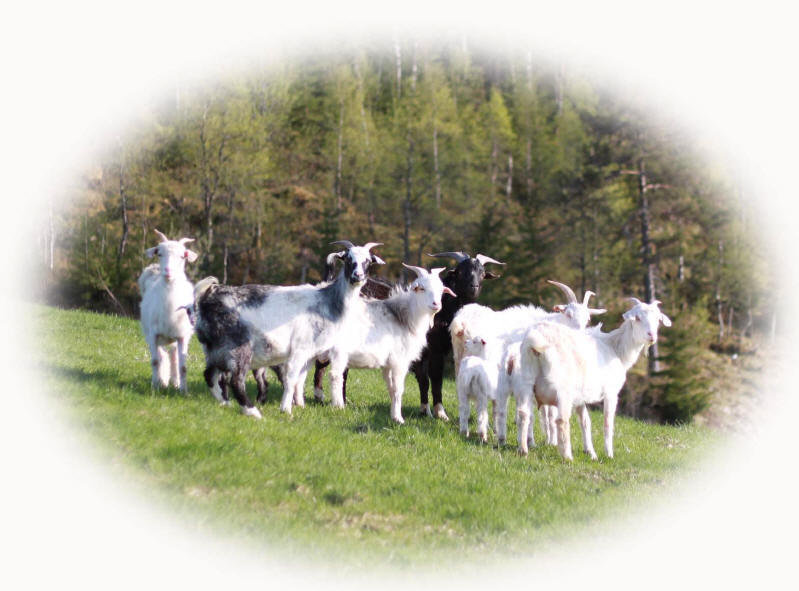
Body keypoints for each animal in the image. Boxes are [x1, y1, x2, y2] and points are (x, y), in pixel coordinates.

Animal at [137, 229, 198, 393]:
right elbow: (155, 361)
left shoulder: (183, 336)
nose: (168, 271)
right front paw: (155, 386)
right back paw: (163, 381)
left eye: (182, 256)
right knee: (163, 356)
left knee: (173, 356)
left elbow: (183, 366)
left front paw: (184, 391)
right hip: (152, 335)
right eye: (159, 254)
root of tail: (154, 270)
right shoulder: (153, 334)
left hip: (174, 338)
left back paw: (174, 382)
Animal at [193, 241, 384, 419]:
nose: (357, 276)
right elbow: (291, 379)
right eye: (348, 259)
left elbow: (300, 379)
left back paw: (224, 403)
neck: (328, 301)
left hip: (215, 349)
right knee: (235, 380)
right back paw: (252, 412)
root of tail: (208, 296)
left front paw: (298, 405)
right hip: (238, 347)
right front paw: (286, 409)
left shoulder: (310, 353)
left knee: (210, 375)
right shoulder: (301, 348)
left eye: (368, 261)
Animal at [334, 264, 456, 424]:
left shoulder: (388, 364)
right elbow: (398, 389)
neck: (404, 317)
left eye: (441, 290)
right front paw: (399, 419)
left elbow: (391, 389)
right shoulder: (400, 361)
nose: (436, 304)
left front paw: (393, 414)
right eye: (421, 288)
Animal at [410, 251, 505, 421]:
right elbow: (435, 378)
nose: (473, 287)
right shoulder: (434, 348)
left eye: (482, 273)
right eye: (460, 272)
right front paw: (440, 412)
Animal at [524, 298, 672, 461]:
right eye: (637, 318)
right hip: (562, 389)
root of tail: (537, 343)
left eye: (658, 319)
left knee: (525, 413)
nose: (651, 335)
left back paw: (526, 445)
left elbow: (585, 421)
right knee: (560, 420)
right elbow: (607, 423)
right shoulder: (611, 392)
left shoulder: (580, 395)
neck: (615, 348)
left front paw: (590, 452)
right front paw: (609, 454)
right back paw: (566, 456)